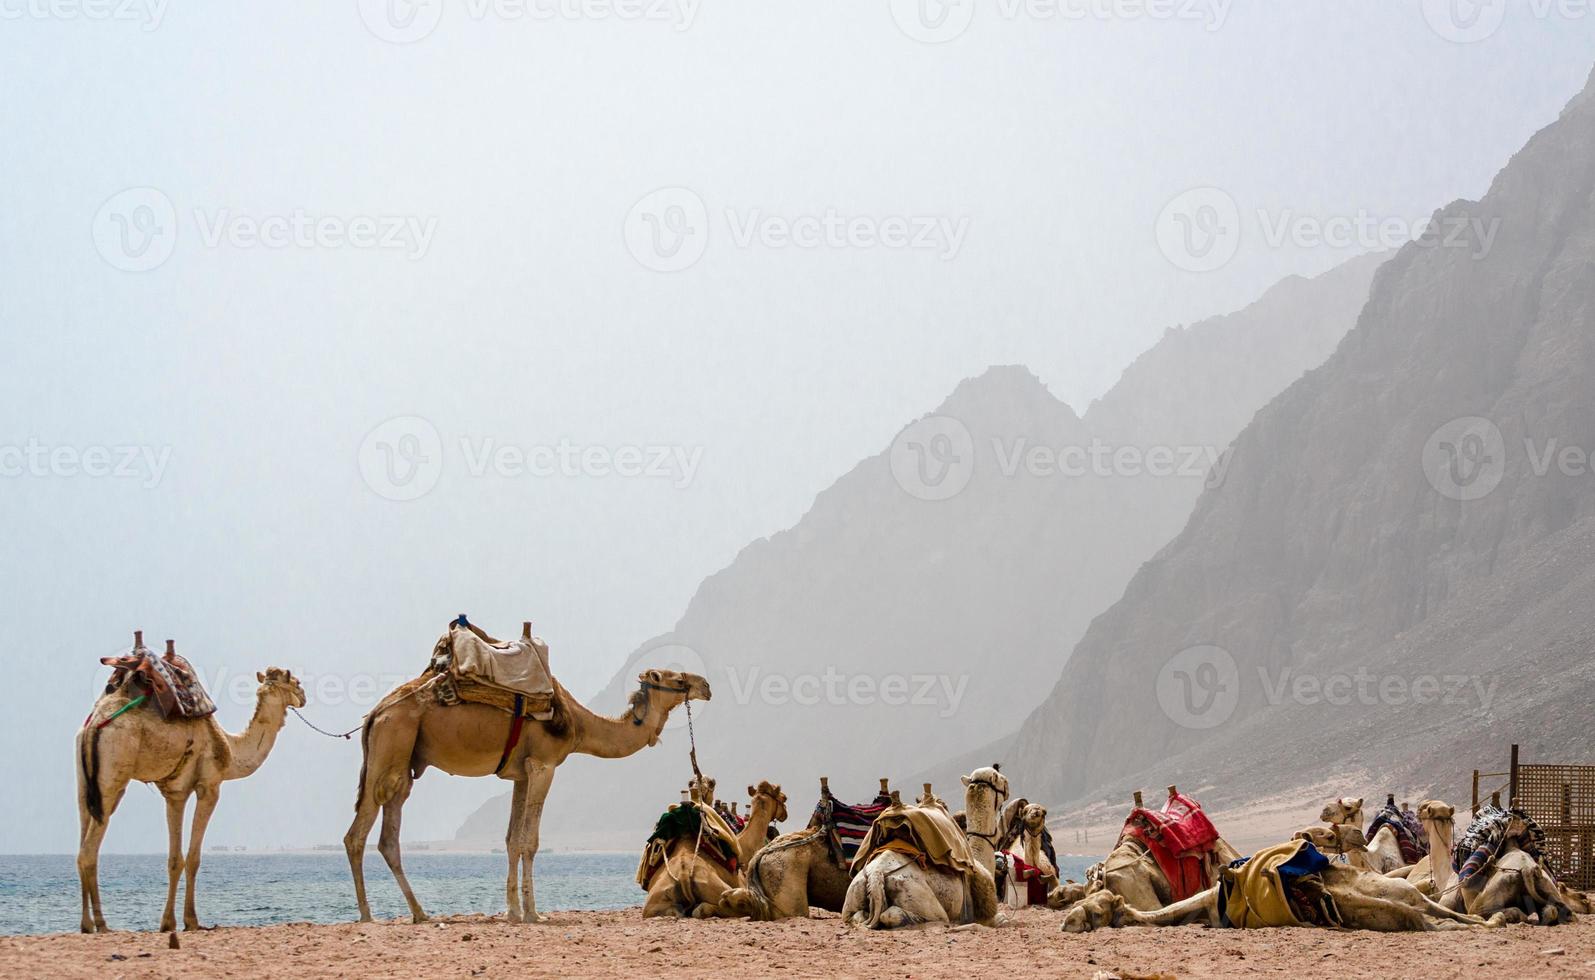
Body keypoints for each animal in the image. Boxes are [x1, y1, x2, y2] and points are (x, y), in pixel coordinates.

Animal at [74, 654, 304, 938]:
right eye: (295, 682)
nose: (303, 696)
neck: (229, 749)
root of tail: (94, 726)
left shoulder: (175, 792)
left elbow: (174, 859)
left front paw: (168, 923)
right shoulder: (210, 787)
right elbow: (193, 858)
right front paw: (191, 921)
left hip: (85, 785)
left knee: (82, 843)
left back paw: (86, 924)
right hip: (112, 777)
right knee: (89, 852)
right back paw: (102, 924)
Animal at [349, 660, 711, 932]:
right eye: (678, 678)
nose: (706, 685)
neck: (578, 724)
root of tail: (375, 714)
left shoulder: (520, 773)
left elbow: (512, 839)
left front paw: (512, 911)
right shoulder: (543, 765)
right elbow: (530, 841)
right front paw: (534, 914)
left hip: (403, 759)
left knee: (387, 838)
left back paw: (419, 913)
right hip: (391, 747)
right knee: (357, 834)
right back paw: (368, 915)